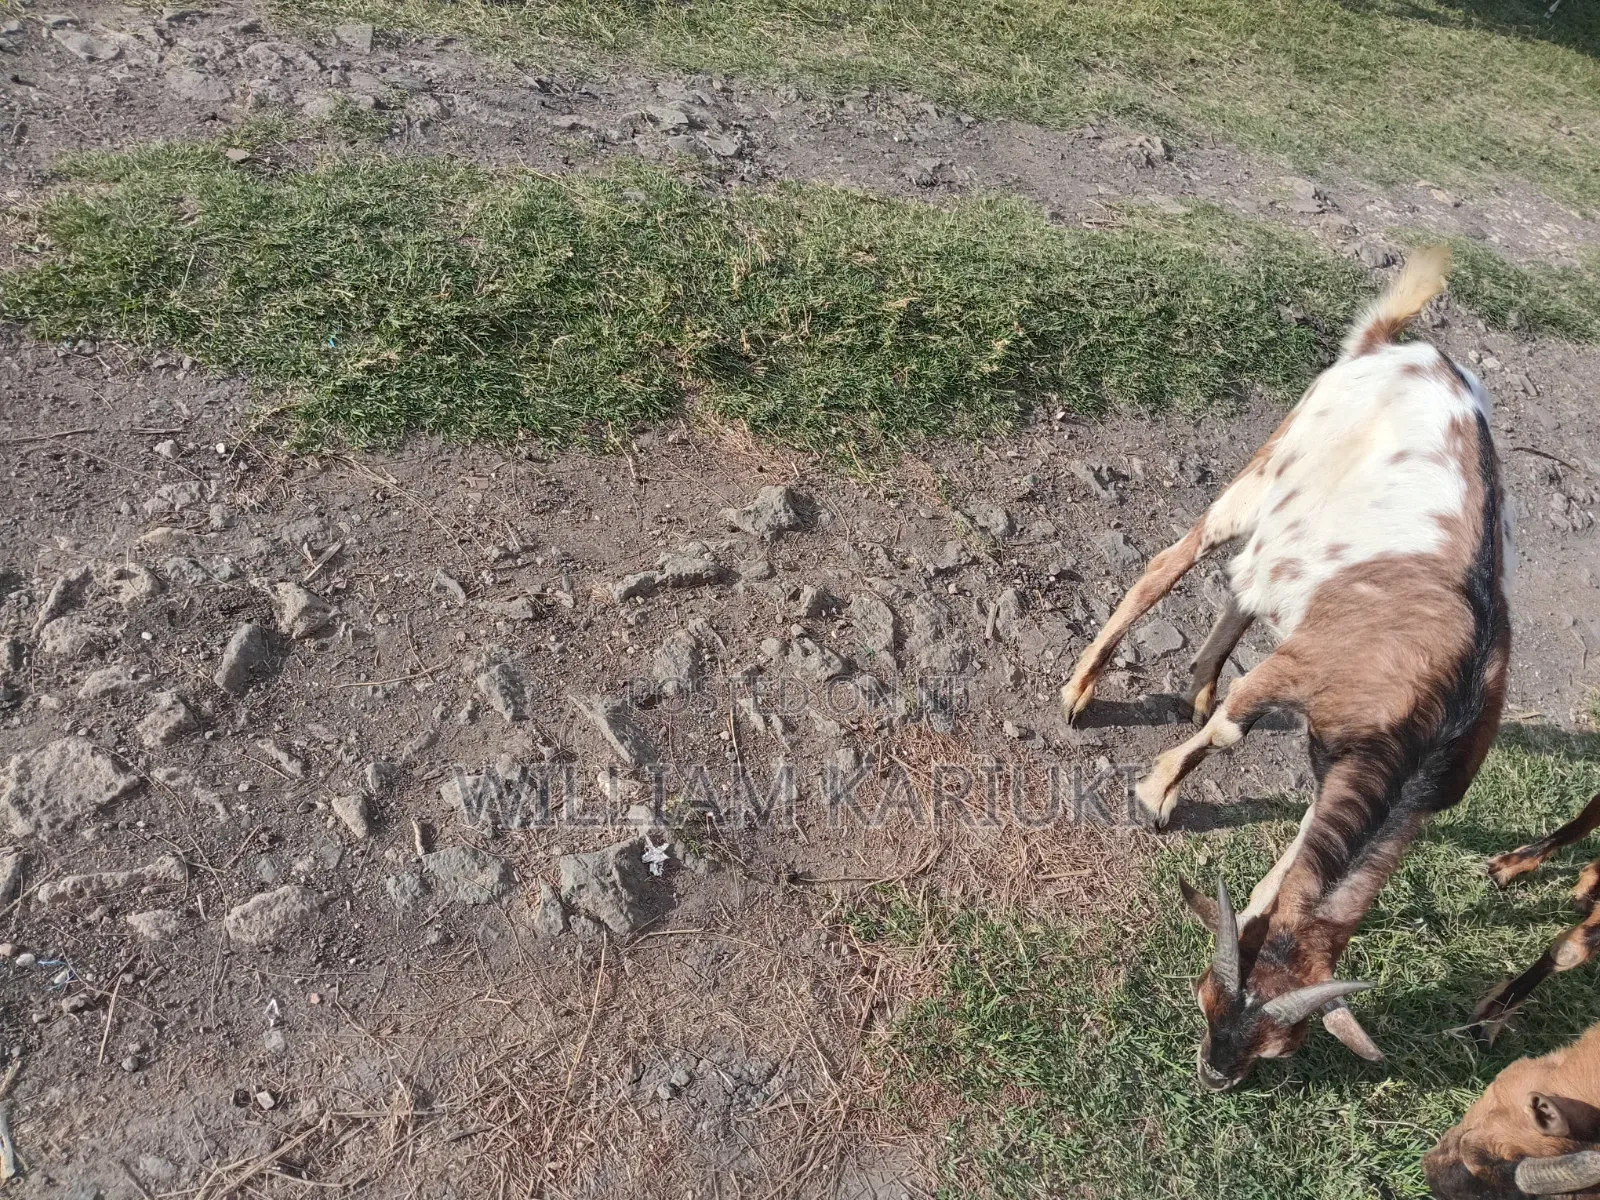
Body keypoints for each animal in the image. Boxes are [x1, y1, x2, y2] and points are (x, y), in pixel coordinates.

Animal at [1059, 246, 1514, 1090]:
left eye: (1279, 1047)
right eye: (1205, 996)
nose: (1214, 1076)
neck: (1443, 702)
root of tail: (1403, 347)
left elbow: (1300, 840)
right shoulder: (1300, 665)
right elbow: (1233, 727)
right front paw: (1155, 796)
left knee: (1245, 584)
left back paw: (1196, 685)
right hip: (1278, 462)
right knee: (1175, 560)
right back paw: (1081, 690)